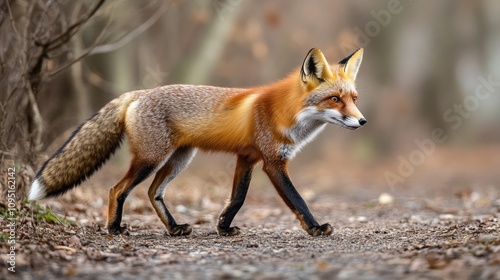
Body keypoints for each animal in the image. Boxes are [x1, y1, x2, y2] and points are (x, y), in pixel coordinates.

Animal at [29, 47, 368, 236]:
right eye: (334, 99)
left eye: (353, 98)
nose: (362, 121)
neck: (287, 114)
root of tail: (139, 93)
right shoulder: (273, 162)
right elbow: (298, 200)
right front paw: (315, 228)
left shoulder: (247, 157)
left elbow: (237, 198)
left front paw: (223, 227)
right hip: (150, 159)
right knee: (116, 189)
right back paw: (114, 229)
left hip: (180, 159)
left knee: (153, 192)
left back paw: (174, 229)